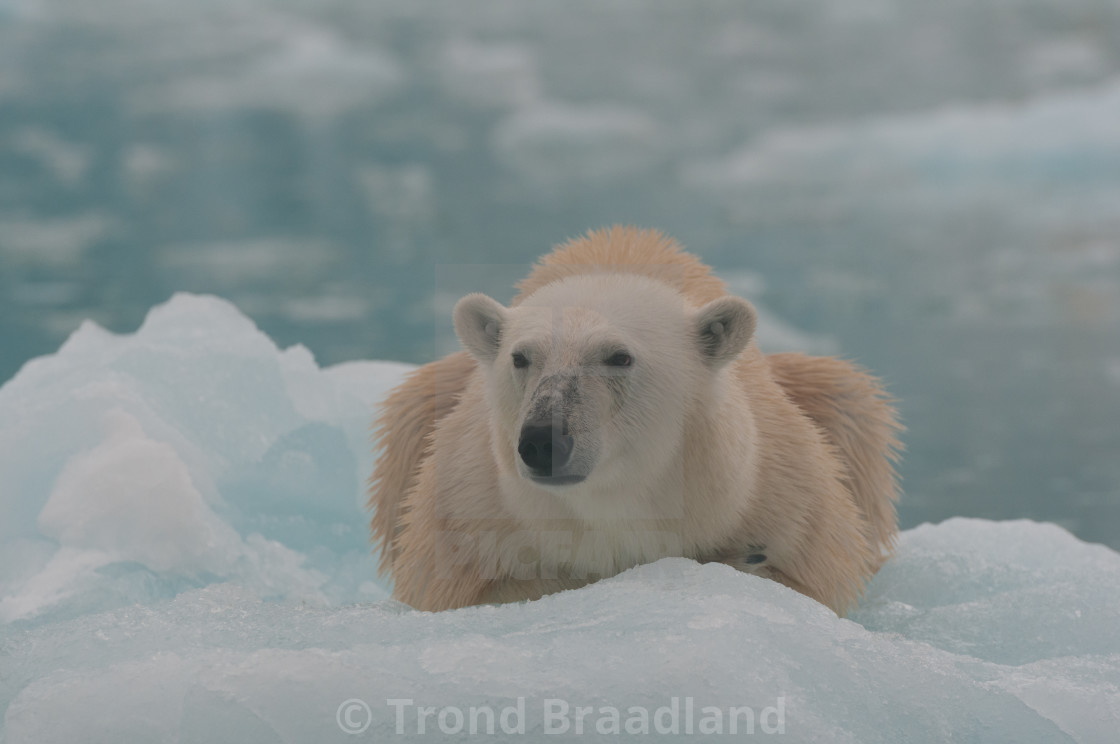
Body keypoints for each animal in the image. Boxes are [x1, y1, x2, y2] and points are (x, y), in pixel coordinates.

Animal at [369, 228, 900, 614]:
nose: (543, 441)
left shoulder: (780, 489)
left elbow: (814, 582)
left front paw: (746, 558)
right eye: (521, 357)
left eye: (618, 356)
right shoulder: (465, 505)